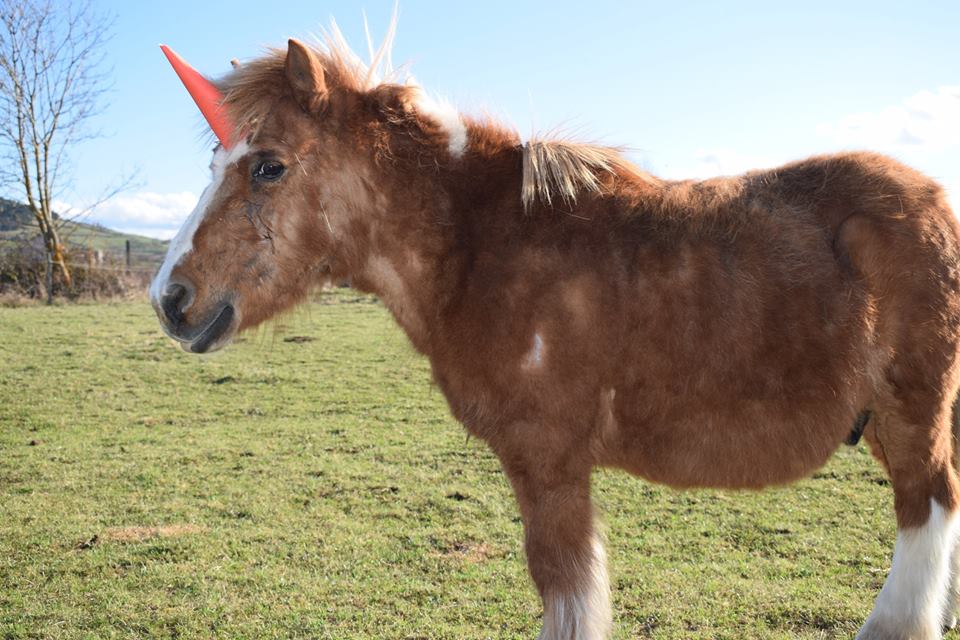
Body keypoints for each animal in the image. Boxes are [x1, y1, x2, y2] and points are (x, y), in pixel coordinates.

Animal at [150, 23, 960, 640]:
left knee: (928, 508)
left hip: (913, 409)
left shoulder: (548, 463)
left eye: (269, 167)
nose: (169, 298)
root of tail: (934, 201)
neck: (481, 244)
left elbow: (565, 590)